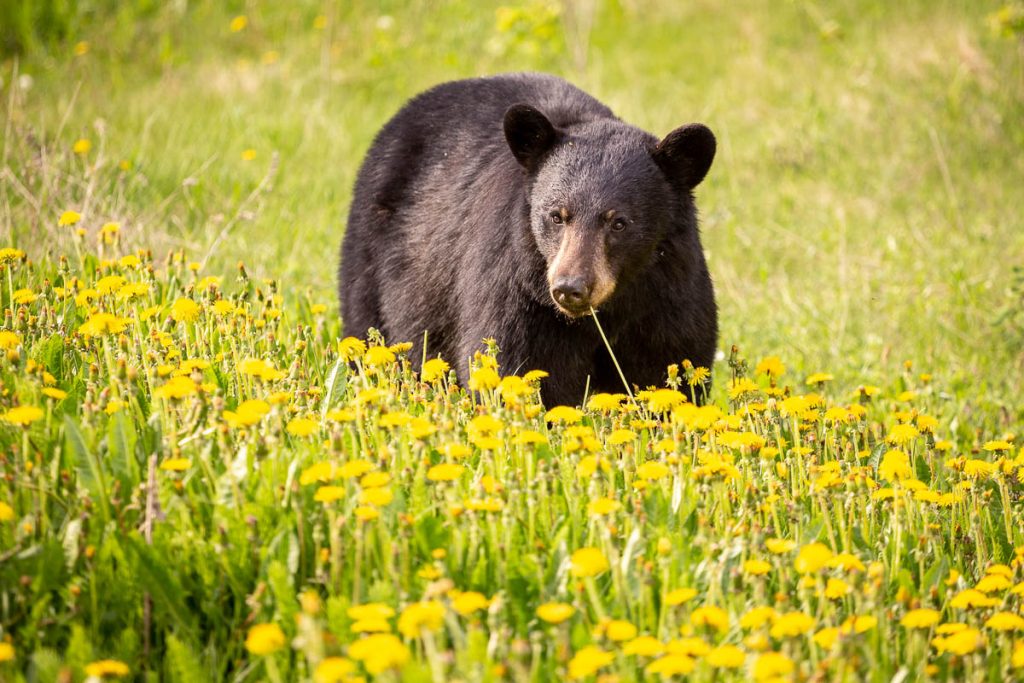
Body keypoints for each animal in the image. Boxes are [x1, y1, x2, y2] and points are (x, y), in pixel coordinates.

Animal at [339, 72, 717, 406]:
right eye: (556, 215)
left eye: (619, 223)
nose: (570, 288)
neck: (606, 312)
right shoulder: (520, 292)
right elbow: (519, 366)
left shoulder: (668, 295)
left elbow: (669, 366)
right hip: (376, 265)